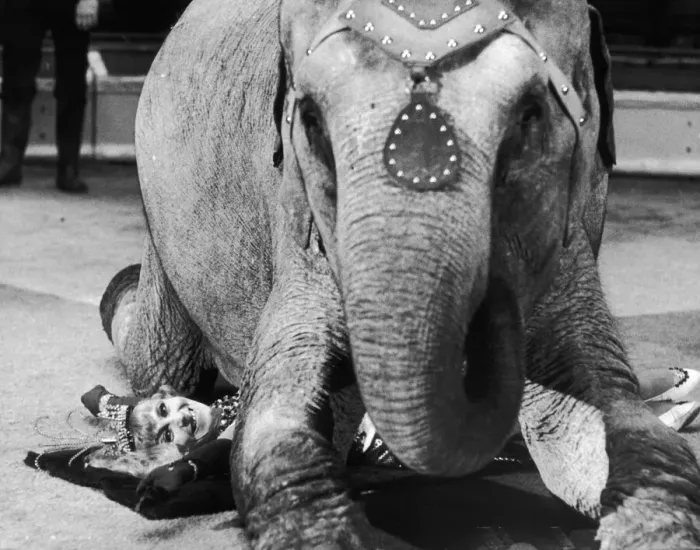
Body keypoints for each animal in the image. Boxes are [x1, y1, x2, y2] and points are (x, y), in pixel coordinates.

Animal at [100, 0, 700, 547]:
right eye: (312, 123)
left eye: (530, 116)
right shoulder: (299, 225)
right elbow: (279, 420)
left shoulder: (575, 221)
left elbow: (590, 414)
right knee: (158, 356)